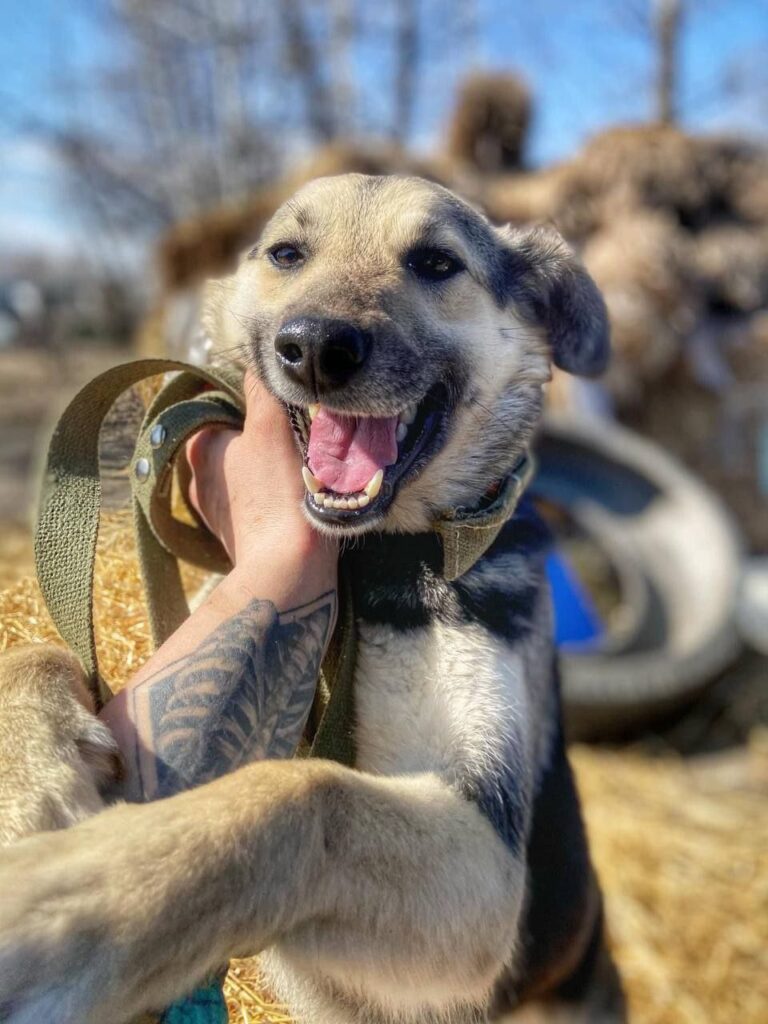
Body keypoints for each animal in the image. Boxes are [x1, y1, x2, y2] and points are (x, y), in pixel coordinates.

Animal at [0, 174, 624, 1023]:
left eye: (436, 262)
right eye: (287, 254)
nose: (319, 350)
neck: (365, 567)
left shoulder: (487, 864)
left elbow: (300, 793)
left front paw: (65, 907)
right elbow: (36, 653)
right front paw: (27, 781)